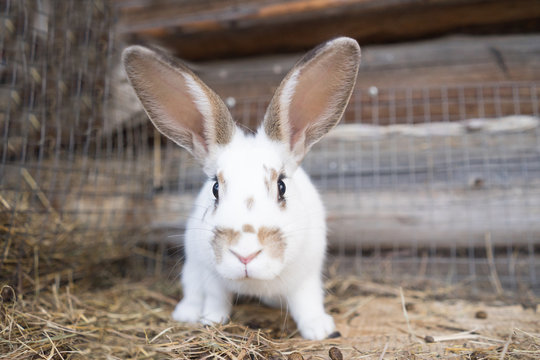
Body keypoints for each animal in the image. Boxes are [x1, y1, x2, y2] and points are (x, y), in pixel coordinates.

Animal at [122, 37, 358, 340]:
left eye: (282, 186)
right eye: (215, 188)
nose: (245, 254)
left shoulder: (307, 276)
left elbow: (307, 302)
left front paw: (319, 329)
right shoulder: (212, 277)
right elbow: (216, 299)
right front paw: (210, 321)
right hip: (192, 268)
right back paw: (187, 313)